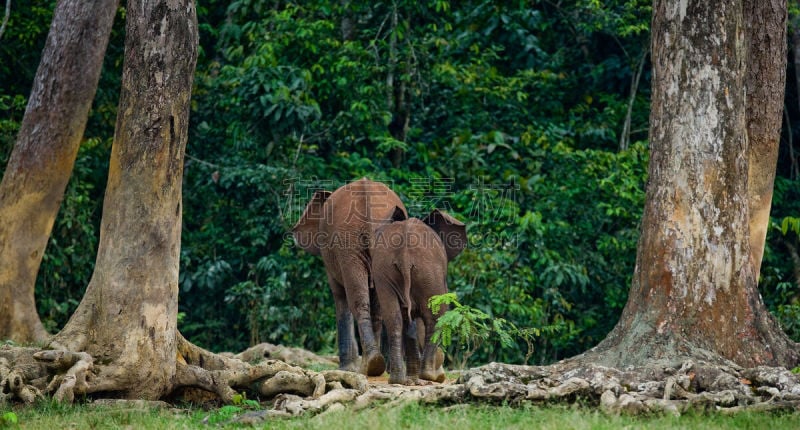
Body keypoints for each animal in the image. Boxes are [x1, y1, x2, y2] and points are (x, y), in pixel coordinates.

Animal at [290, 176, 406, 374]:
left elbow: (339, 295)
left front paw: (346, 369)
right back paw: (373, 364)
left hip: (347, 243)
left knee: (356, 300)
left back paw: (369, 365)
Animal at [376, 207, 468, 382]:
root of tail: (404, 254)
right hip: (428, 272)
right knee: (436, 317)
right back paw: (431, 377)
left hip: (386, 271)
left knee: (394, 318)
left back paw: (399, 380)